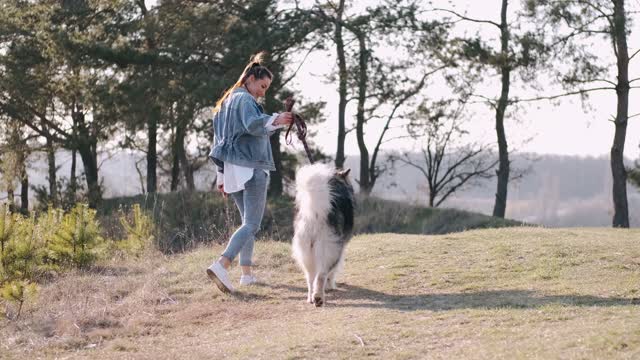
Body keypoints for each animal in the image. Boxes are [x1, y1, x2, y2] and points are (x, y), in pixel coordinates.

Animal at [292, 163, 356, 306]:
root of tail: (314, 216)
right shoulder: (341, 247)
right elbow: (333, 272)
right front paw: (331, 285)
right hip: (329, 250)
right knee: (321, 275)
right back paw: (319, 297)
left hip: (306, 253)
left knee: (310, 278)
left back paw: (311, 298)